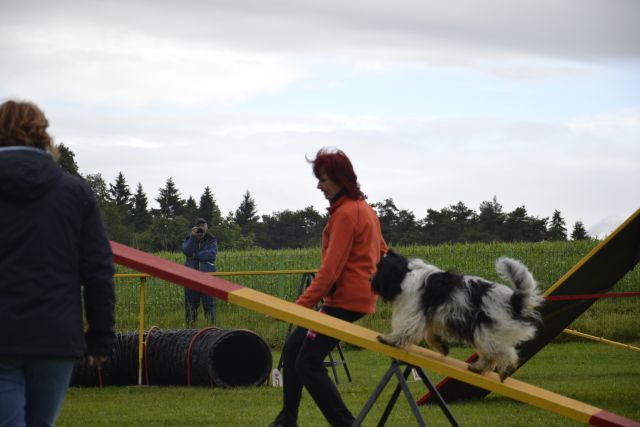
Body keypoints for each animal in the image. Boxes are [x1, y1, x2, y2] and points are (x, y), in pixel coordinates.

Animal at [372, 251, 544, 382]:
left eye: (379, 267)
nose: (370, 280)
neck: (406, 273)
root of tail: (514, 300)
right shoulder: (429, 317)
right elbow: (429, 335)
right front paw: (442, 346)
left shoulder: (411, 311)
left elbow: (405, 329)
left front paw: (389, 339)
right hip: (486, 334)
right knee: (492, 355)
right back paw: (478, 367)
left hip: (489, 332)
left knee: (505, 353)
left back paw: (504, 369)